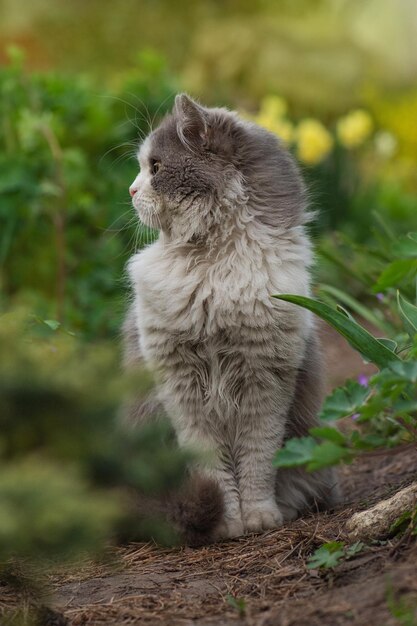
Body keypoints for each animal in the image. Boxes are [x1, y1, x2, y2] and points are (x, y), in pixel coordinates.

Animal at [122, 92, 338, 540]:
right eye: (144, 167)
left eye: (156, 167)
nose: (130, 189)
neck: (216, 264)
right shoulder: (181, 385)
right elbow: (214, 470)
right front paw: (227, 523)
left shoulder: (267, 381)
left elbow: (258, 461)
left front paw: (258, 517)